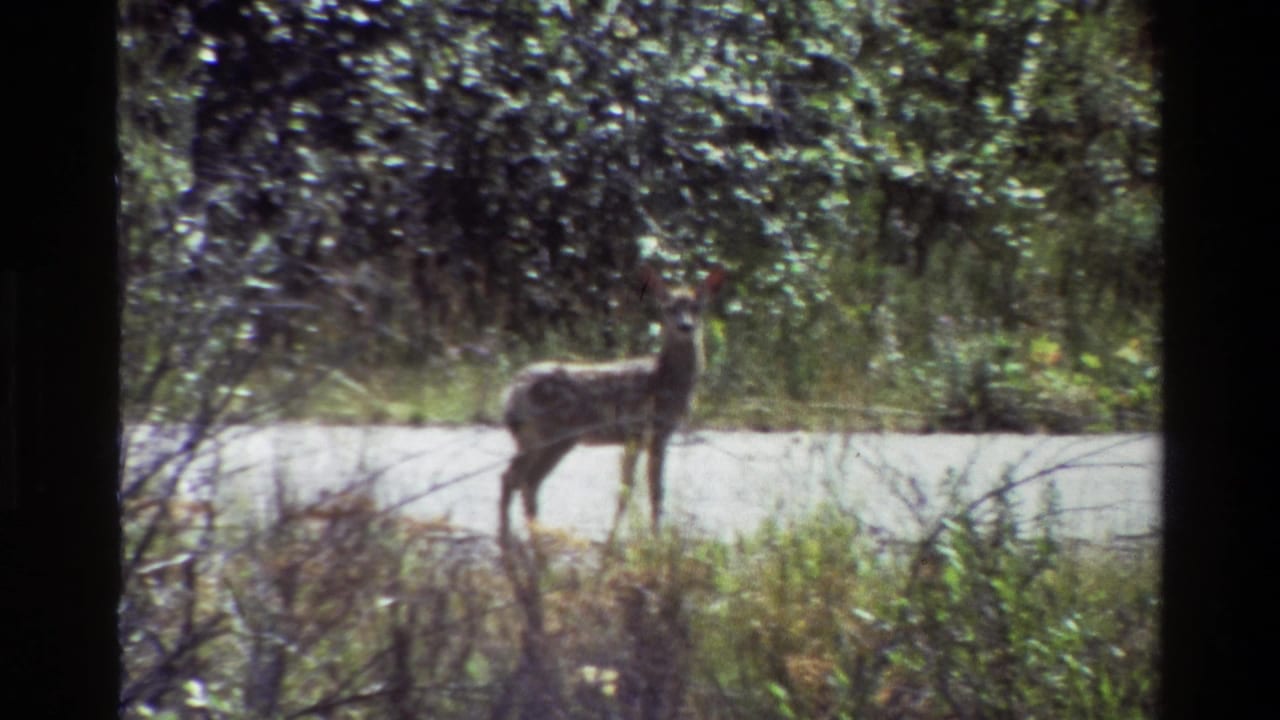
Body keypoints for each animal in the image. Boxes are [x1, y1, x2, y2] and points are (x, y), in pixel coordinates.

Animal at [498, 265, 727, 546]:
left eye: (697, 307)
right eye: (668, 307)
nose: (685, 326)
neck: (666, 379)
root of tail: (511, 391)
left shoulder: (634, 438)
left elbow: (626, 487)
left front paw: (616, 536)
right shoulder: (655, 430)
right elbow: (655, 490)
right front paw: (655, 539)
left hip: (543, 439)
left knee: (521, 480)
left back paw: (528, 534)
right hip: (545, 435)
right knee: (519, 479)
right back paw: (519, 537)